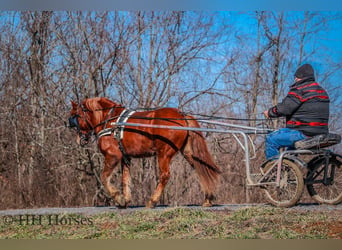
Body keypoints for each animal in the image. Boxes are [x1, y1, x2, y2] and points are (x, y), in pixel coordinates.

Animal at [68, 96, 220, 208]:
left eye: (75, 115)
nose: (79, 139)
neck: (110, 121)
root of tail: (181, 115)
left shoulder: (113, 155)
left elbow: (104, 177)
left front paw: (119, 198)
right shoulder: (125, 157)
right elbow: (125, 179)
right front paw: (125, 200)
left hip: (164, 153)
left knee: (165, 175)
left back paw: (152, 201)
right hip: (188, 153)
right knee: (201, 169)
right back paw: (208, 199)